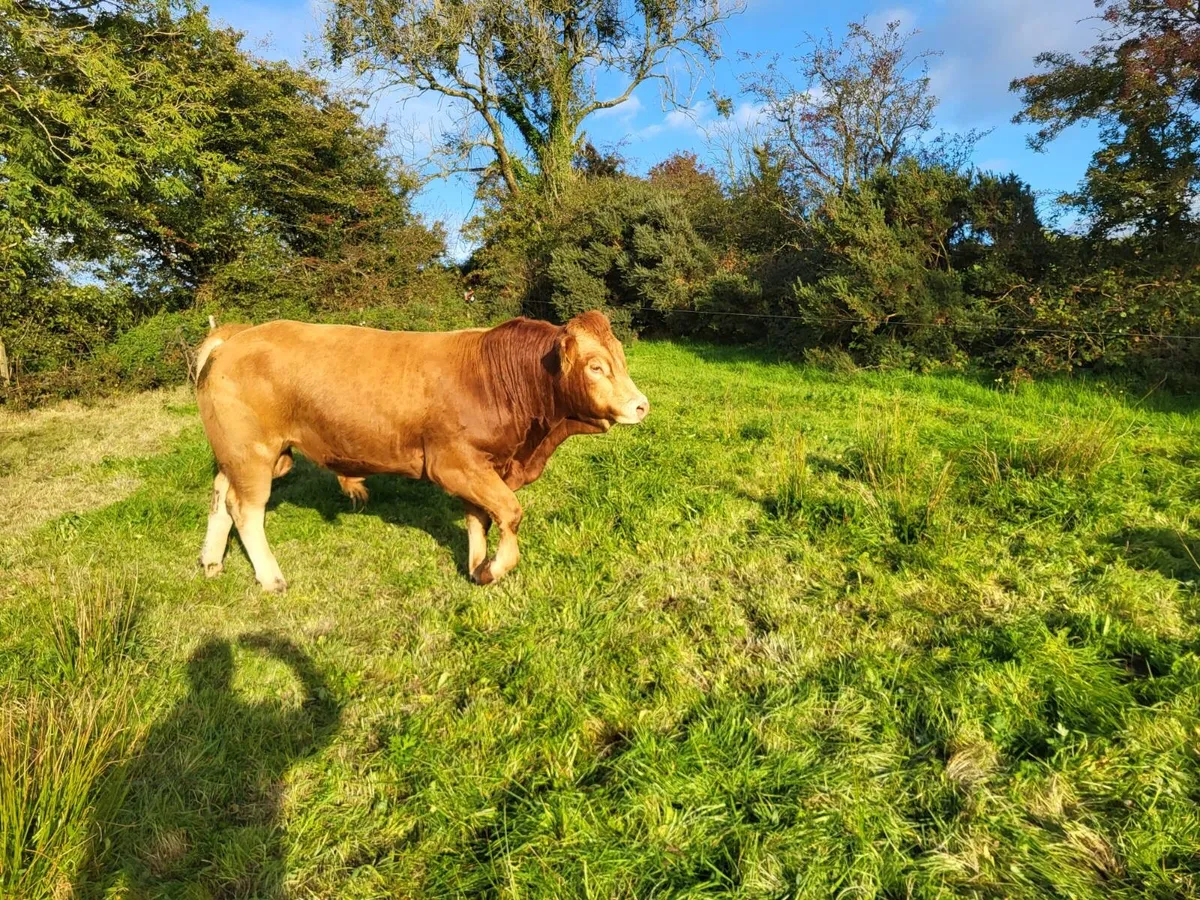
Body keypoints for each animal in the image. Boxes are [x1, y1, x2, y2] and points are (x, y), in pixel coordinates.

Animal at [192, 311, 649, 592]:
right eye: (595, 366)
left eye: (622, 360)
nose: (641, 405)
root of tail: (238, 335)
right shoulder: (454, 463)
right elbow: (509, 511)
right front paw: (495, 568)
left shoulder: (482, 467)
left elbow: (479, 518)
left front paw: (477, 566)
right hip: (252, 453)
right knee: (245, 510)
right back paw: (271, 578)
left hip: (243, 454)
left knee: (220, 495)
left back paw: (212, 561)